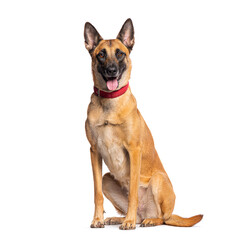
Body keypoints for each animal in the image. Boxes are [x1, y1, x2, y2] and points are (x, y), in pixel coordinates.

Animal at [83, 17, 203, 230]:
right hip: (107, 178)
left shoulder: (133, 150)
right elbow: (97, 193)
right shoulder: (94, 152)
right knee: (138, 213)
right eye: (101, 55)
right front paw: (97, 219)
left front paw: (129, 223)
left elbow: (132, 193)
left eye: (120, 54)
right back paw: (121, 218)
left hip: (158, 179)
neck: (109, 103)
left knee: (163, 218)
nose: (112, 71)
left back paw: (147, 220)